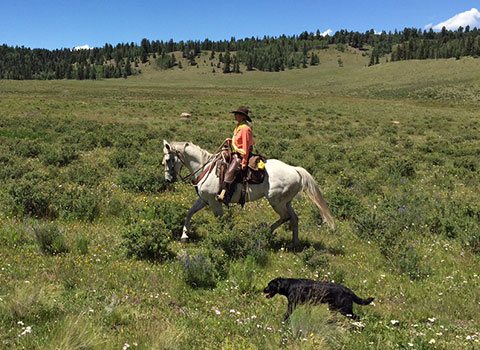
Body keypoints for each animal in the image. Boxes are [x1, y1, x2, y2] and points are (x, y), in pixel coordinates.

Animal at [161, 141, 334, 245]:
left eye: (168, 160)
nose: (168, 180)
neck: (205, 168)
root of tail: (295, 169)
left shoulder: (215, 202)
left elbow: (221, 220)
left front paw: (223, 237)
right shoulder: (204, 200)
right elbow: (189, 213)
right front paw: (184, 236)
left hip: (276, 202)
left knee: (285, 217)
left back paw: (264, 232)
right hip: (286, 202)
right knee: (294, 218)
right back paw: (295, 242)